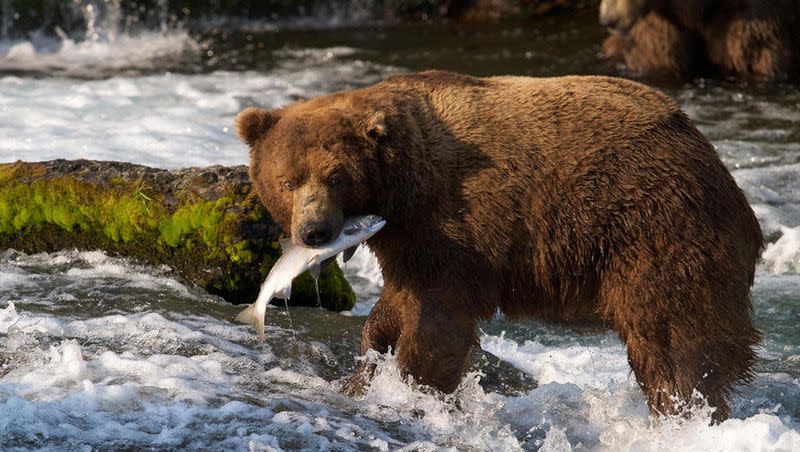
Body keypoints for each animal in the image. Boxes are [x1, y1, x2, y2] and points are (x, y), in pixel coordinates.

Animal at [236, 69, 764, 420]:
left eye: (336, 177)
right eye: (288, 180)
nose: (314, 232)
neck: (404, 188)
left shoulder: (458, 224)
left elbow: (438, 316)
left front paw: (413, 388)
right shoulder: (408, 240)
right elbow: (395, 305)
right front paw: (362, 375)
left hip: (656, 230)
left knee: (675, 337)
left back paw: (685, 410)